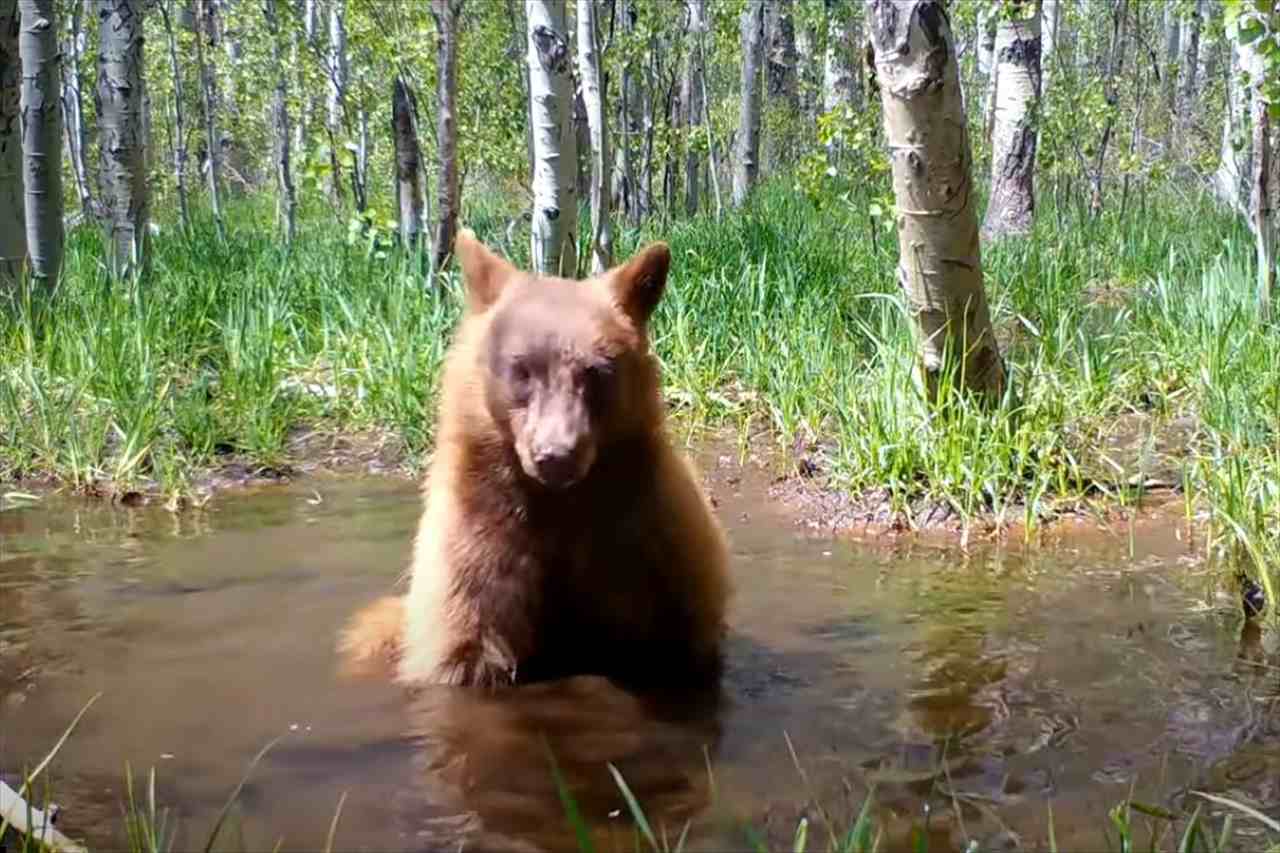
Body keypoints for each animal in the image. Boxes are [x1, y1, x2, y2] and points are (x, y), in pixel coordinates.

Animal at [343, 229, 732, 686]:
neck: (558, 505)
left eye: (596, 371)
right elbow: (466, 644)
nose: (556, 456)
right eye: (521, 369)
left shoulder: (650, 539)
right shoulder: (476, 541)